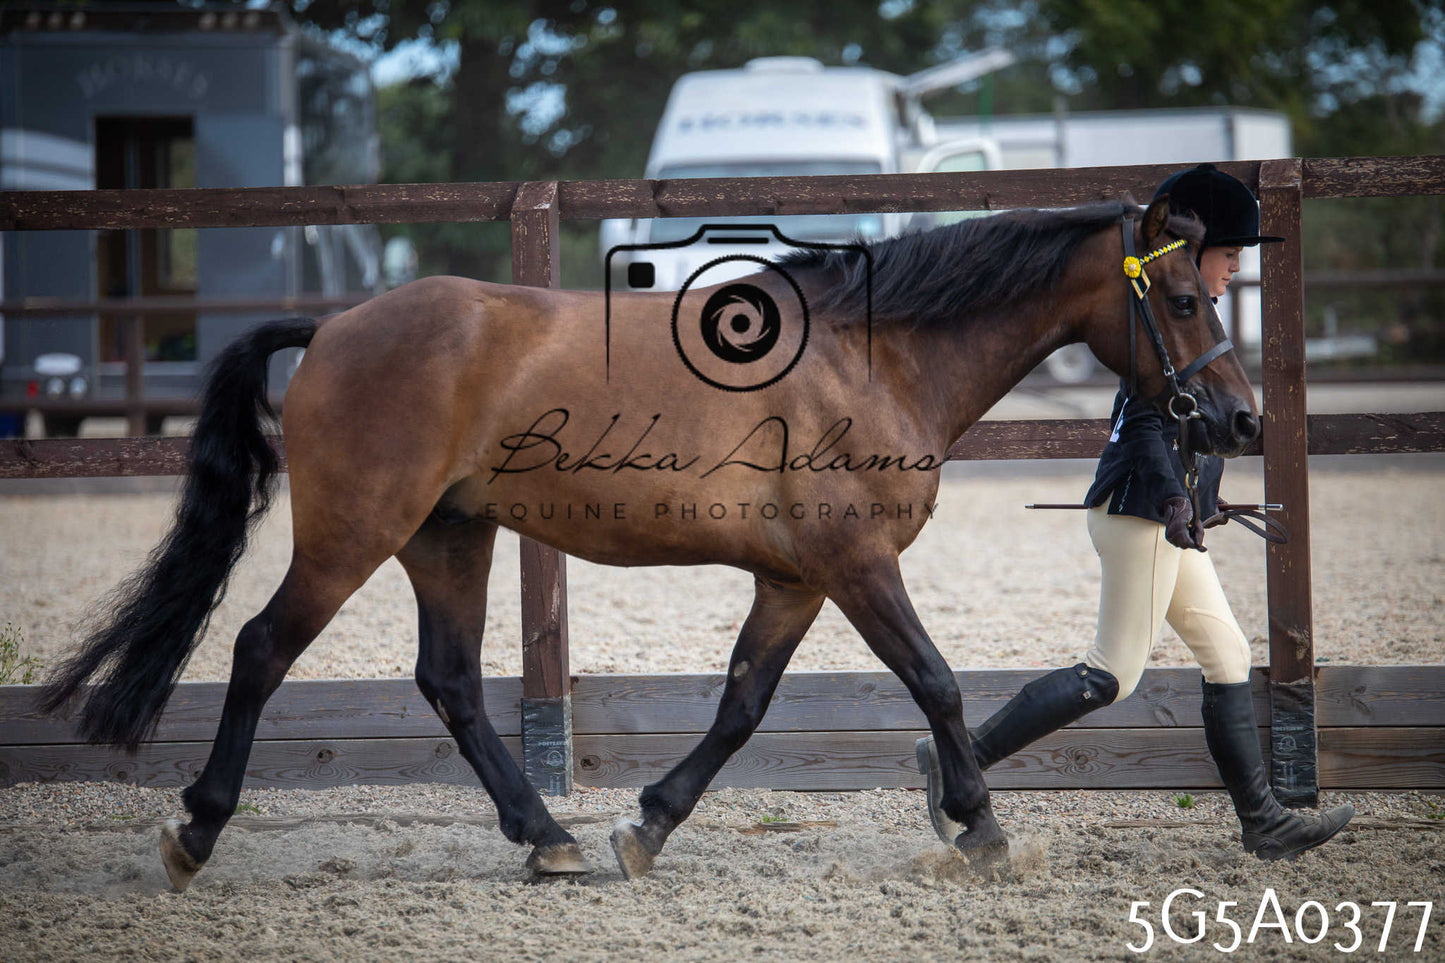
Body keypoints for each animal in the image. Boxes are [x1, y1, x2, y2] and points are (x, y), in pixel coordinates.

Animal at [41, 194, 1259, 890]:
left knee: (450, 681)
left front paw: (649, 826)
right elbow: (937, 681)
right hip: (355, 534)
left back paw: (548, 836)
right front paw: (981, 829)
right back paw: (195, 833)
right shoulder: (856, 565)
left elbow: (740, 705)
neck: (868, 358)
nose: (1242, 420)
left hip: (447, 539)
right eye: (1186, 301)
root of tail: (335, 326)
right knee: (259, 650)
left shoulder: (792, 580)